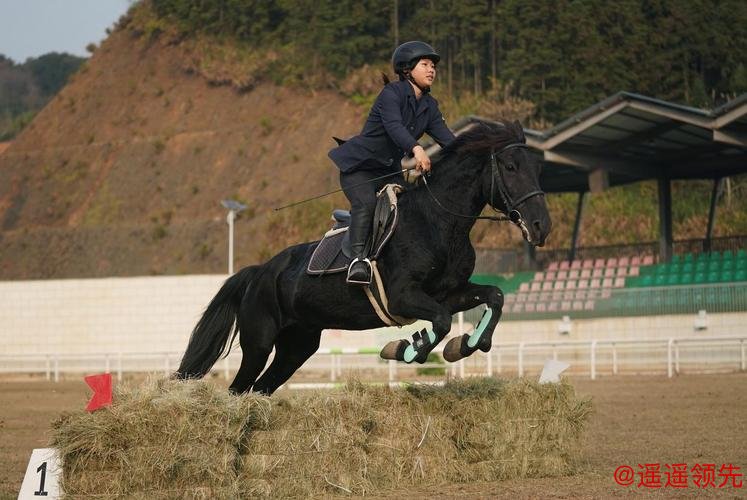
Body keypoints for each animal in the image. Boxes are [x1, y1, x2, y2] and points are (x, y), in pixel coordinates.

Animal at [176, 119, 551, 394]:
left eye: (537, 168)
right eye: (511, 166)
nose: (541, 226)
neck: (437, 222)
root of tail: (259, 271)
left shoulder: (447, 292)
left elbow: (495, 296)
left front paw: (466, 344)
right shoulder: (404, 297)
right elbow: (442, 321)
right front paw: (406, 348)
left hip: (297, 346)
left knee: (259, 388)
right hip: (259, 342)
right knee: (238, 388)